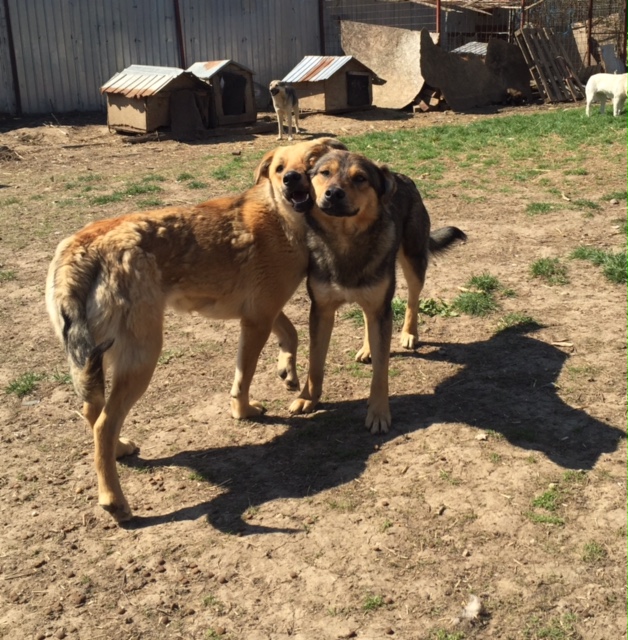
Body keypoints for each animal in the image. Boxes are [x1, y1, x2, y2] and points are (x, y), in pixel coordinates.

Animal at [290, 149, 466, 436]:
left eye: (360, 178)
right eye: (324, 172)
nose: (333, 193)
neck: (345, 240)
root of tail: (401, 176)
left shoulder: (382, 308)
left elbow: (381, 372)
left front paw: (379, 413)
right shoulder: (321, 310)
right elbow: (315, 362)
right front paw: (307, 398)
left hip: (413, 262)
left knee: (413, 300)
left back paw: (409, 334)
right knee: (367, 316)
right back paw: (367, 348)